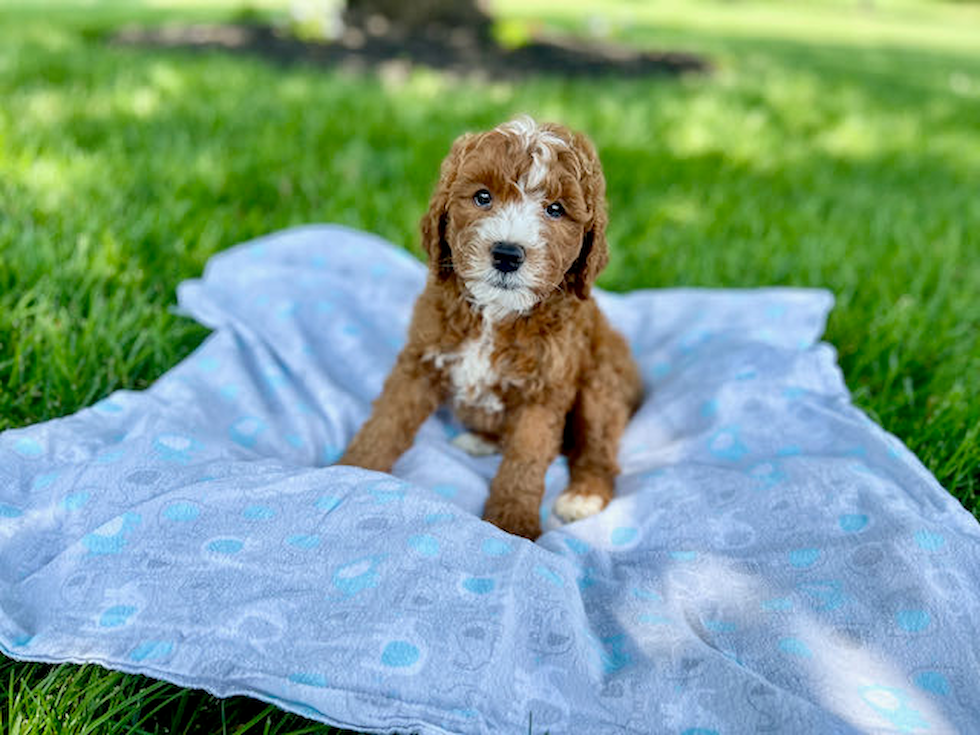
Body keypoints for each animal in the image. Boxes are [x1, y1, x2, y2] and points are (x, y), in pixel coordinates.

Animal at [336, 116, 644, 540]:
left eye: (555, 209)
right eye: (483, 197)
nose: (507, 254)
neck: (495, 314)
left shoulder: (543, 394)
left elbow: (524, 461)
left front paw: (511, 525)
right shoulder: (420, 361)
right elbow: (387, 420)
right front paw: (354, 470)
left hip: (602, 383)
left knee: (599, 451)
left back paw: (585, 494)